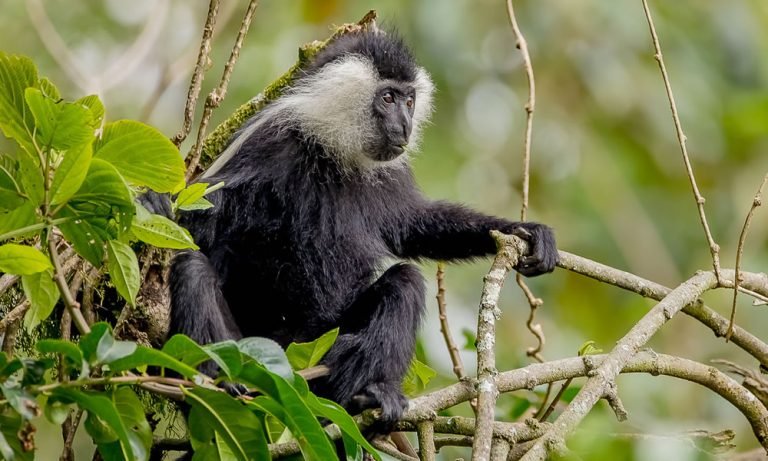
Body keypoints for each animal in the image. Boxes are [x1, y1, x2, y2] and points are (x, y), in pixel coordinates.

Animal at [164, 28, 558, 430]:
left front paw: (527, 231)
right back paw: (220, 381)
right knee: (194, 270)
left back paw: (370, 393)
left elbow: (413, 224)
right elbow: (200, 213)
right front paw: (154, 201)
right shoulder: (269, 144)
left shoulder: (389, 171)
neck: (332, 147)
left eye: (410, 101)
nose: (405, 125)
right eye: (388, 98)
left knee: (405, 283)